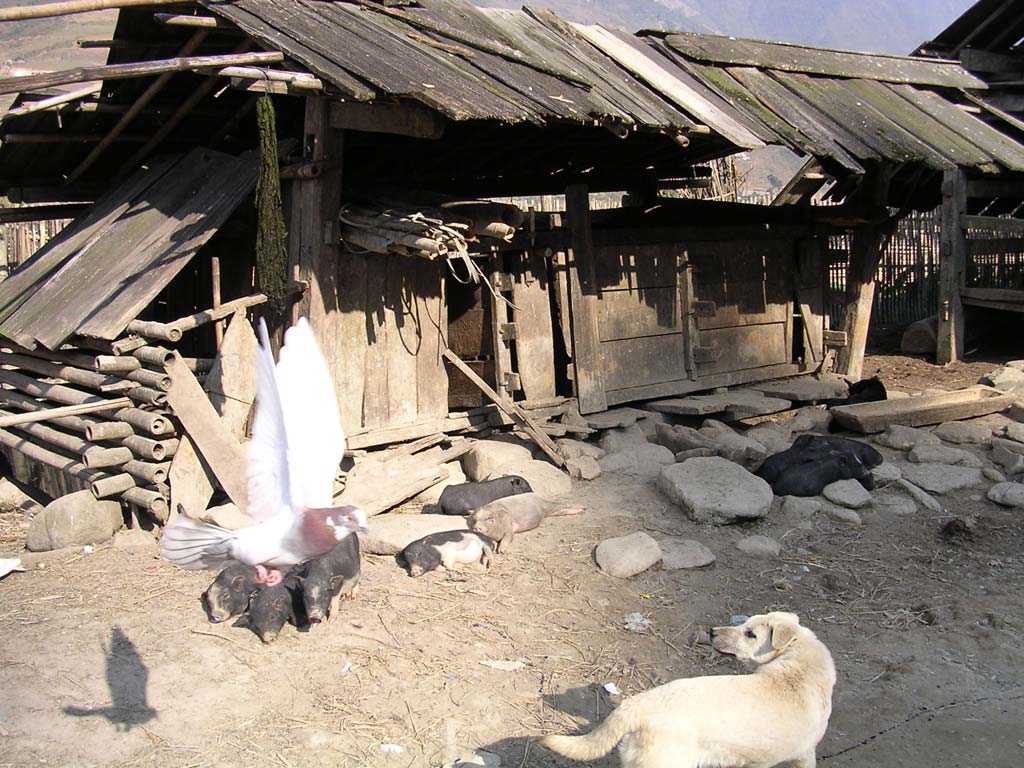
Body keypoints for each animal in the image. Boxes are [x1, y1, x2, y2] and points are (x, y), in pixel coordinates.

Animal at [540, 614, 835, 768]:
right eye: (746, 627)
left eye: (750, 633)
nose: (712, 631)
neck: (796, 661)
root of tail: (641, 702)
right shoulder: (802, 755)